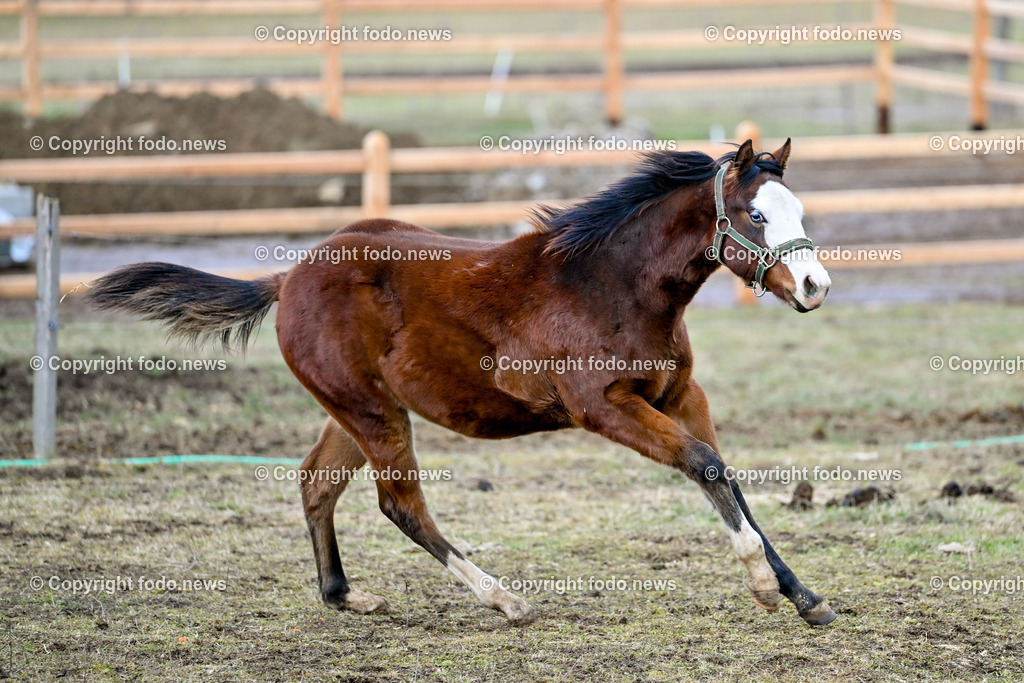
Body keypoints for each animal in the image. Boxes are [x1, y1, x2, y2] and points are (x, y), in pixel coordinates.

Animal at [87, 138, 836, 627]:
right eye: (757, 215)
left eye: (799, 209)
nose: (815, 286)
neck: (611, 283)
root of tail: (287, 276)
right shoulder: (604, 407)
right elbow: (705, 464)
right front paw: (763, 585)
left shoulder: (679, 395)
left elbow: (728, 475)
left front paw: (802, 596)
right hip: (373, 413)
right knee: (400, 505)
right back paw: (504, 599)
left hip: (356, 409)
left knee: (317, 484)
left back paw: (344, 595)